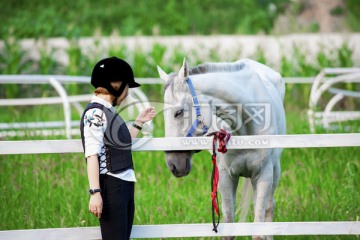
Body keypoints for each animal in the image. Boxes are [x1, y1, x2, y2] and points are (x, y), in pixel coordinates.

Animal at [159, 58, 286, 240]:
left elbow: (259, 231)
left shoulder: (264, 174)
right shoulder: (226, 176)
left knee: (269, 208)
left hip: (275, 170)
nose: (173, 165)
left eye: (178, 112)